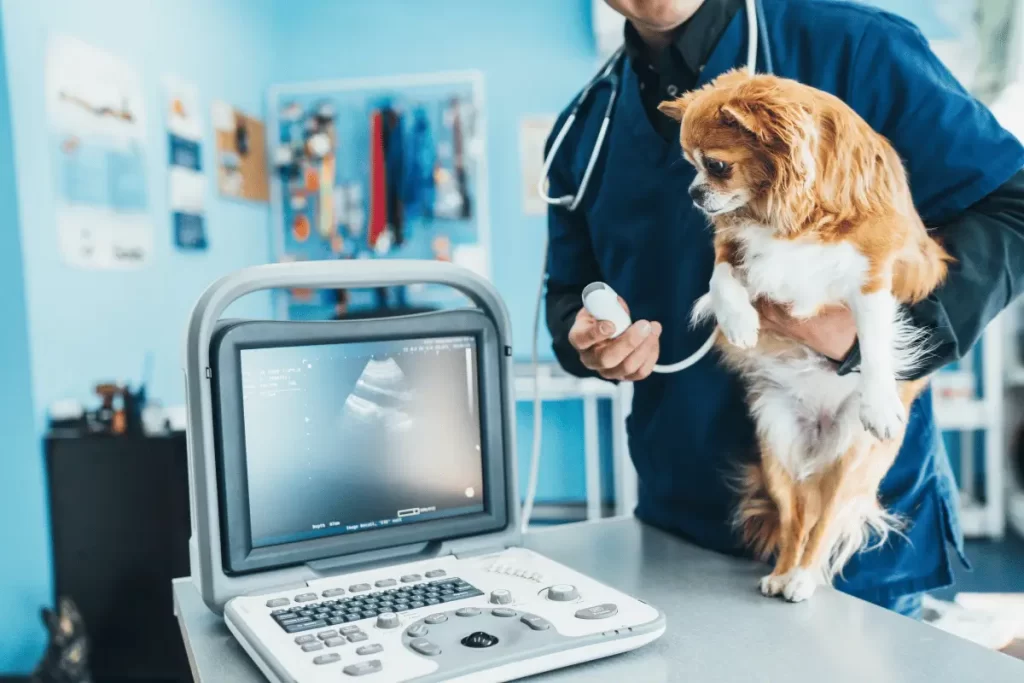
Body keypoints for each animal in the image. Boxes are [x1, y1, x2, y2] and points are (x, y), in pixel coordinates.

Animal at [655, 70, 950, 602]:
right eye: (690, 165)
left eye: (716, 166)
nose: (693, 193)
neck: (793, 215)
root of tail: (819, 430)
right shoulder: (735, 245)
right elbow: (720, 278)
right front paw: (740, 322)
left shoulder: (872, 276)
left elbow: (874, 341)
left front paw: (880, 402)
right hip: (777, 452)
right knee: (796, 520)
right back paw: (781, 573)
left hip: (850, 461)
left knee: (823, 523)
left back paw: (803, 578)